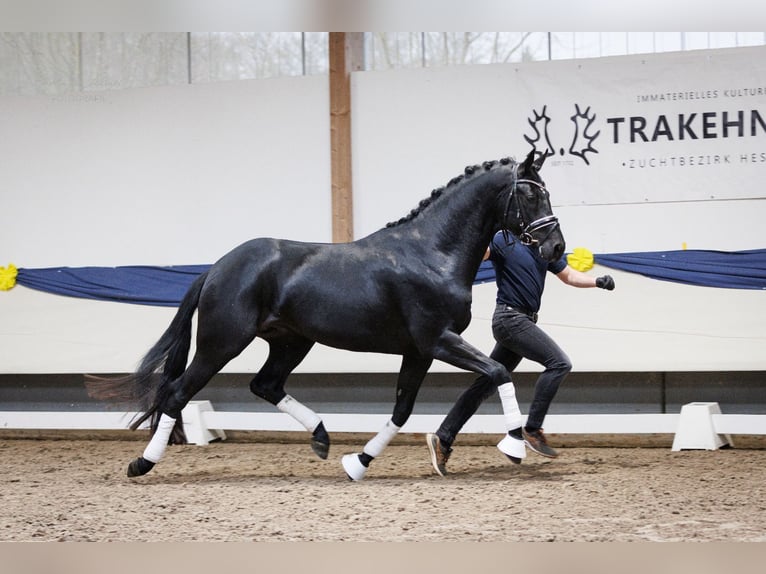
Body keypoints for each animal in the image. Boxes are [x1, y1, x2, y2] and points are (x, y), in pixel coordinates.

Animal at [87, 150, 568, 482]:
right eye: (530, 192)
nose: (556, 248)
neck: (432, 253)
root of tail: (218, 267)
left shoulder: (418, 351)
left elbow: (402, 409)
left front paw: (357, 463)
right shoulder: (438, 341)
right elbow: (497, 372)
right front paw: (515, 446)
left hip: (291, 341)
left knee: (265, 385)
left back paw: (321, 437)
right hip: (221, 343)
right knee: (176, 394)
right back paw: (142, 463)